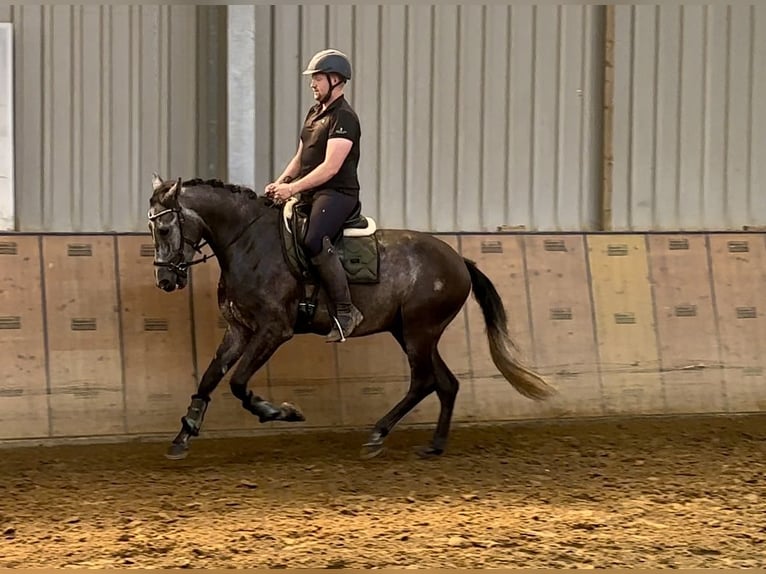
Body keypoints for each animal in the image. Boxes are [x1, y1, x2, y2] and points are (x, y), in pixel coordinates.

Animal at [147, 173, 556, 462]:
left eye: (164, 228)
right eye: (151, 228)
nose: (166, 280)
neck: (249, 243)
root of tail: (458, 260)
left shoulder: (273, 330)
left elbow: (237, 382)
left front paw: (281, 411)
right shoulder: (239, 329)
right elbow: (211, 376)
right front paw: (183, 435)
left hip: (419, 331)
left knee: (424, 381)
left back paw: (377, 435)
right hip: (409, 331)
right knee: (446, 383)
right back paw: (433, 446)